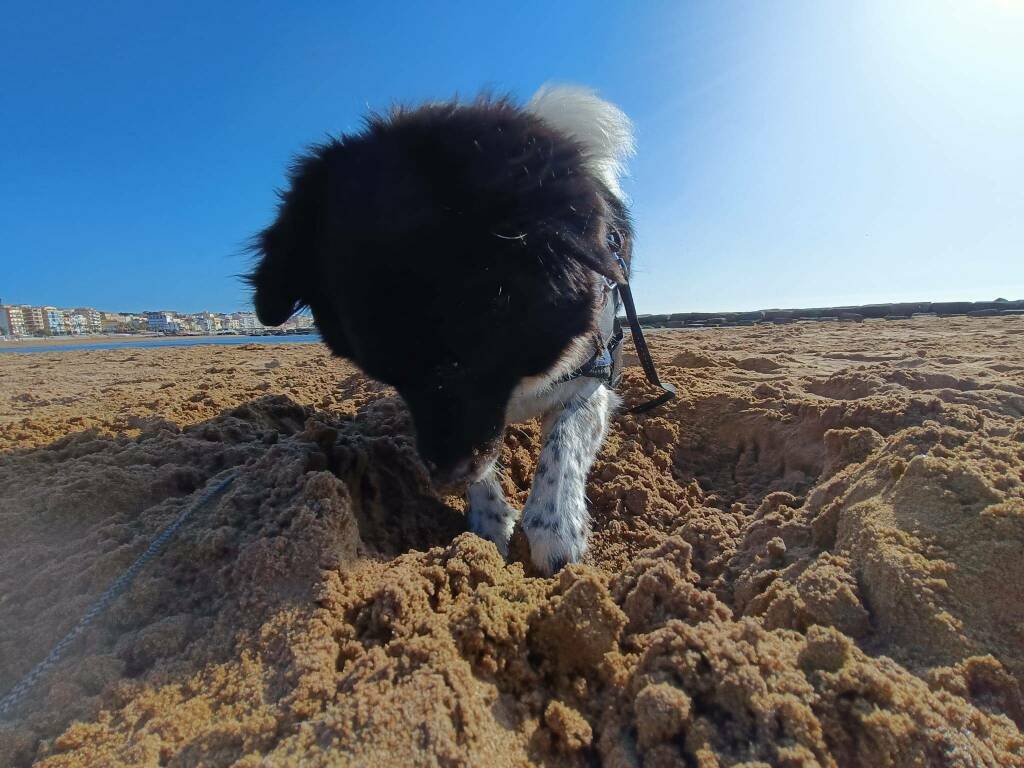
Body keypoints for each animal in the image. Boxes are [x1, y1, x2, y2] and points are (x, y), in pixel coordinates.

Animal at [245, 87, 638, 573]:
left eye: (471, 357)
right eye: (388, 377)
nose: (445, 480)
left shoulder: (595, 369)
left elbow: (565, 437)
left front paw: (555, 527)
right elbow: (486, 461)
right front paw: (489, 522)